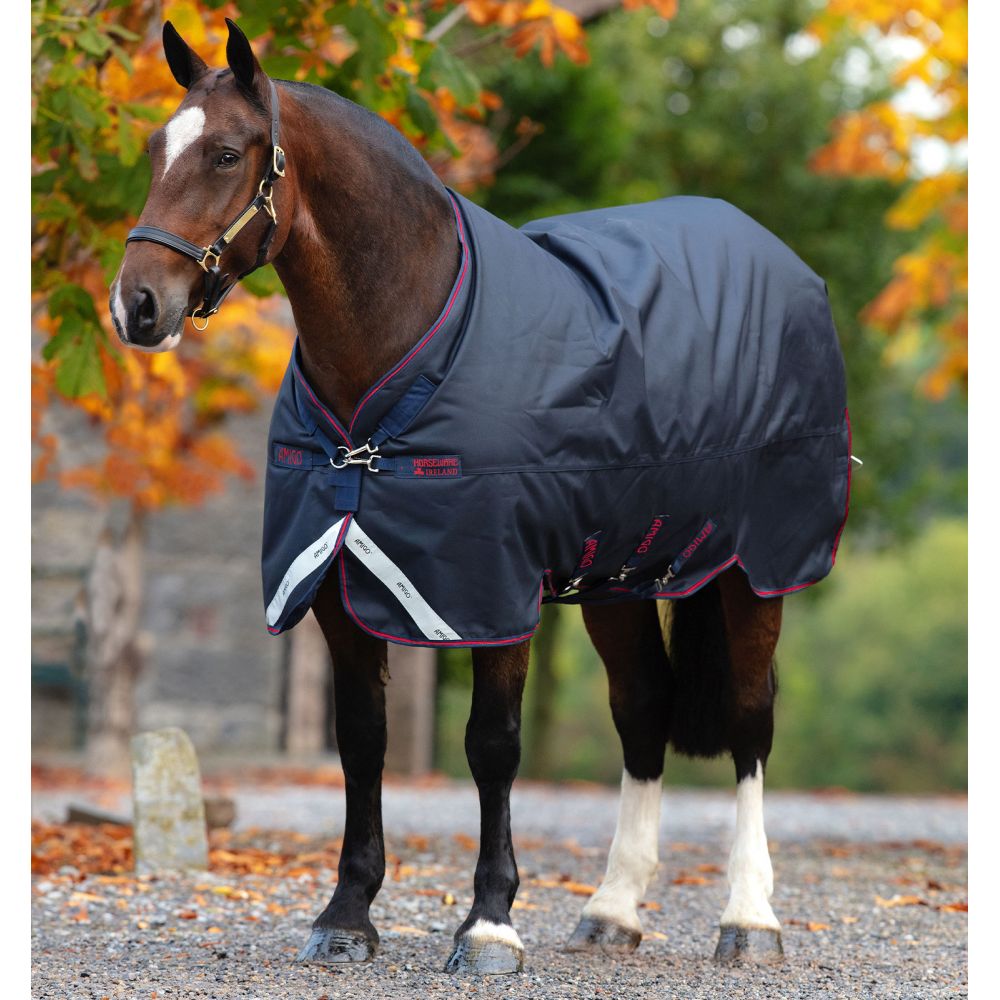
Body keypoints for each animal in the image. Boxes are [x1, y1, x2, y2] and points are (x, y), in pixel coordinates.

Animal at [110, 19, 851, 976]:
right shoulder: (338, 592)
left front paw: (490, 923)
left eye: (228, 153)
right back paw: (613, 909)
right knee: (643, 708)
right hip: (619, 575)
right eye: (154, 149)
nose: (136, 306)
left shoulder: (490, 592)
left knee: (752, 722)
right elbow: (362, 743)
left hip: (755, 569)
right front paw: (347, 915)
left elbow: (492, 746)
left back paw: (750, 918)